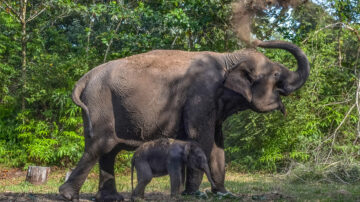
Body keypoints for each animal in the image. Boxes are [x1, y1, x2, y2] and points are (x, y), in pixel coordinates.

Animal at [58, 40, 310, 201]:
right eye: (276, 74)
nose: (260, 41)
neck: (228, 57)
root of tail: (85, 78)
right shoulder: (201, 95)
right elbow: (202, 139)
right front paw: (193, 194)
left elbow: (218, 145)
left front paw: (224, 194)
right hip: (99, 104)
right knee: (101, 146)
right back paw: (67, 195)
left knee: (109, 150)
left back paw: (111, 198)